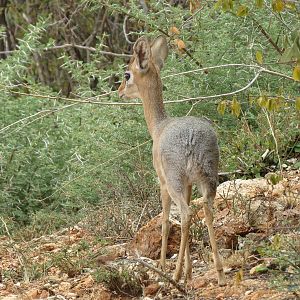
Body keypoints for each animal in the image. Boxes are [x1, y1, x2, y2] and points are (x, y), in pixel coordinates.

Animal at [118, 35, 225, 286]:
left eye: (127, 74)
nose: (119, 92)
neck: (158, 127)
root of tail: (192, 140)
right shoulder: (188, 185)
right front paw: (188, 271)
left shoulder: (163, 183)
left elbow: (165, 223)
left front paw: (165, 267)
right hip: (207, 180)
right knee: (206, 211)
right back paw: (219, 272)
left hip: (175, 182)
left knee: (185, 215)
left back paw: (174, 276)